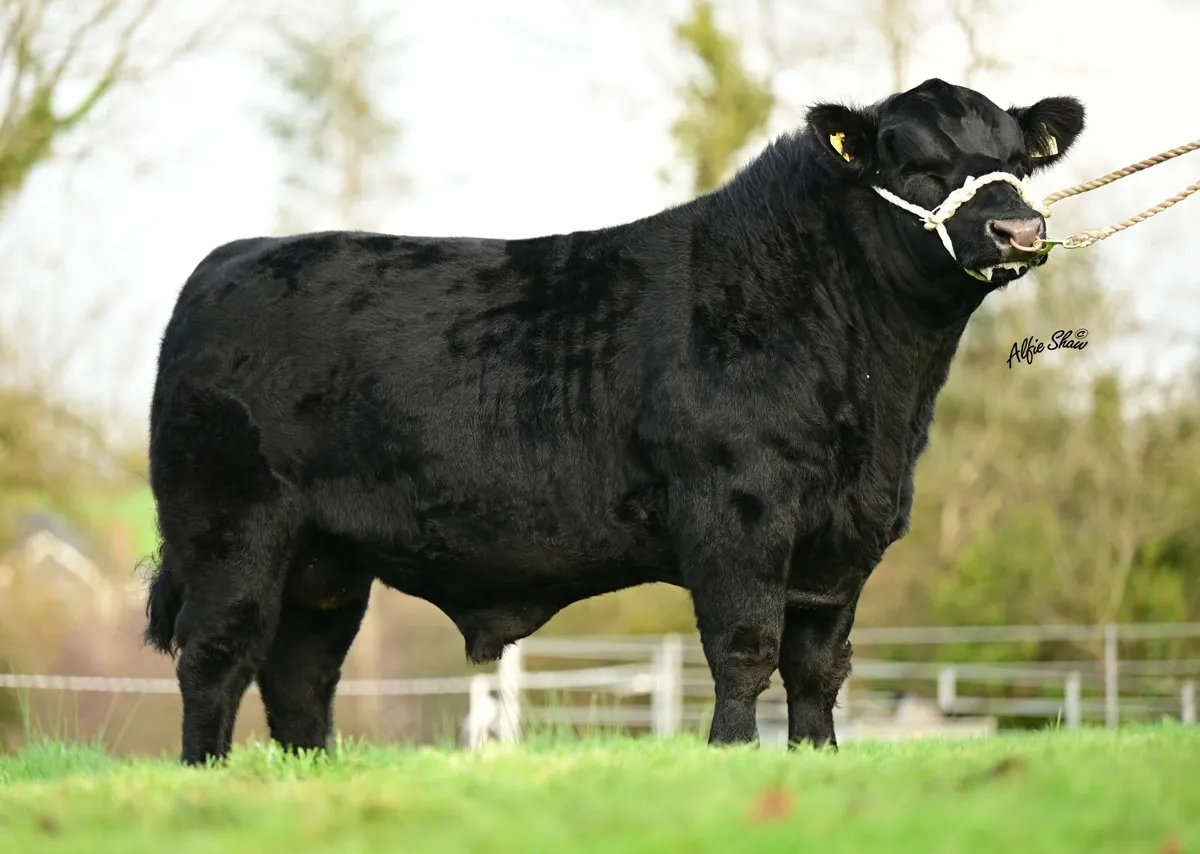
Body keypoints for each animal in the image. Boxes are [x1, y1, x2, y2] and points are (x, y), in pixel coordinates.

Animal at [143, 77, 1085, 765]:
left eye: (1017, 160)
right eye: (915, 161)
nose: (1019, 227)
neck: (880, 405)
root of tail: (232, 260)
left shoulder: (846, 535)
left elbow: (820, 665)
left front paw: (817, 758)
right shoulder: (735, 512)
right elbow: (745, 646)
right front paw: (731, 755)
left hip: (326, 561)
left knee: (301, 674)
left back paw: (308, 774)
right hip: (230, 527)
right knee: (218, 654)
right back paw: (206, 774)